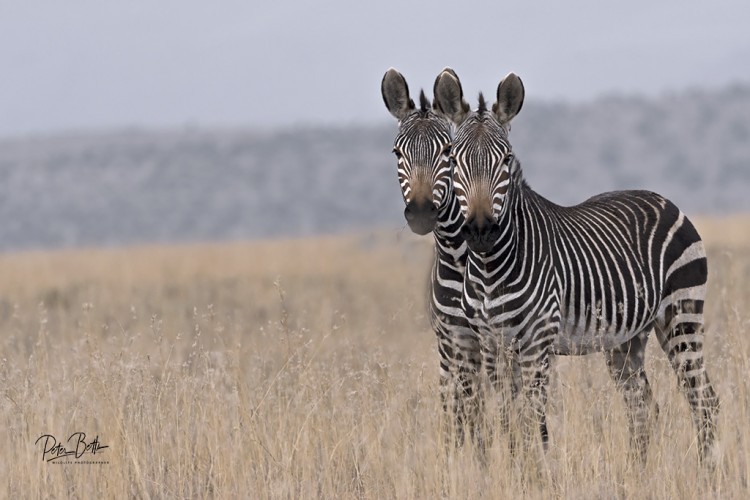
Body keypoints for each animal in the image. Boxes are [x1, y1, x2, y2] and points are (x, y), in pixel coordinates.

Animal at [382, 67, 516, 450]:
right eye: (397, 153)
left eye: (446, 152)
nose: (421, 212)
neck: (457, 255)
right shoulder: (450, 341)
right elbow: (461, 410)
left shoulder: (480, 340)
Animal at [434, 67, 724, 464]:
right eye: (453, 159)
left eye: (506, 159)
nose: (480, 231)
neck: (491, 268)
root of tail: (666, 201)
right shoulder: (492, 343)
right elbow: (508, 420)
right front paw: (512, 470)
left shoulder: (536, 341)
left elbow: (533, 421)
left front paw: (536, 472)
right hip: (627, 338)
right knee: (643, 406)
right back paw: (636, 473)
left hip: (681, 315)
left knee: (703, 399)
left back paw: (708, 472)